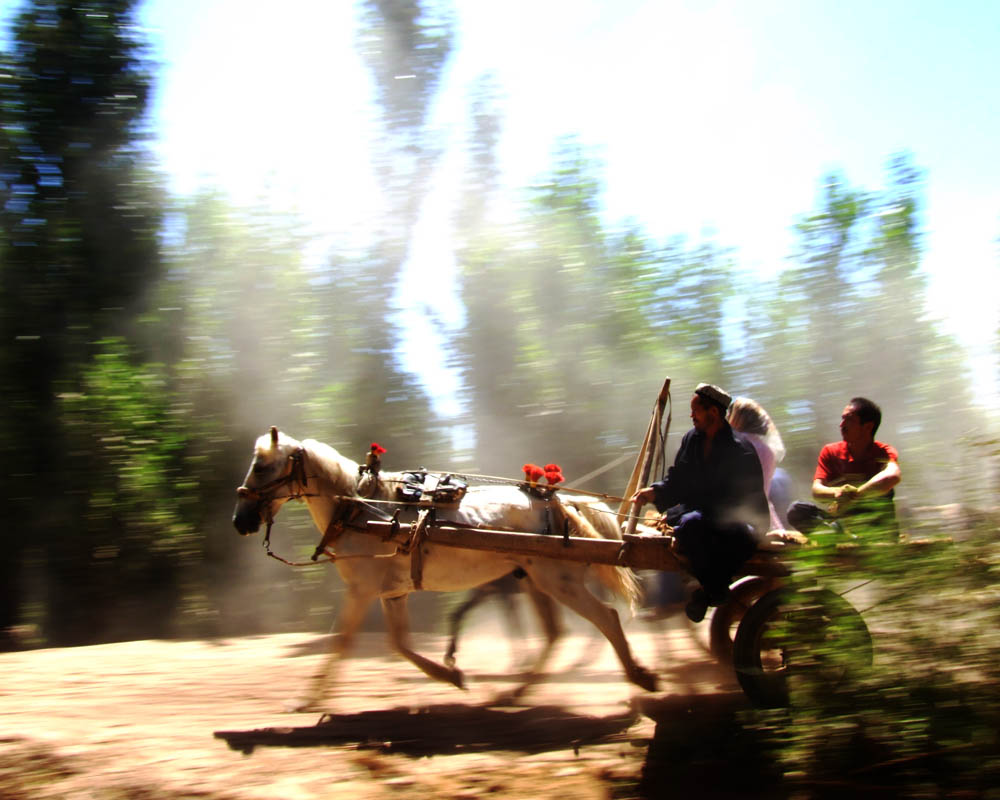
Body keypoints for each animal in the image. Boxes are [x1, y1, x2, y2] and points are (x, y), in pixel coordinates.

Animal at [230, 428, 660, 708]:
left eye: (262, 467)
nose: (240, 521)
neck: (360, 508)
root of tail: (556, 501)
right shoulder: (392, 592)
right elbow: (400, 645)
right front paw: (451, 674)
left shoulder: (362, 590)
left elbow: (342, 641)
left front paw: (309, 699)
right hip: (536, 582)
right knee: (555, 634)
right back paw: (514, 693)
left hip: (559, 581)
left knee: (605, 619)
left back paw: (640, 675)